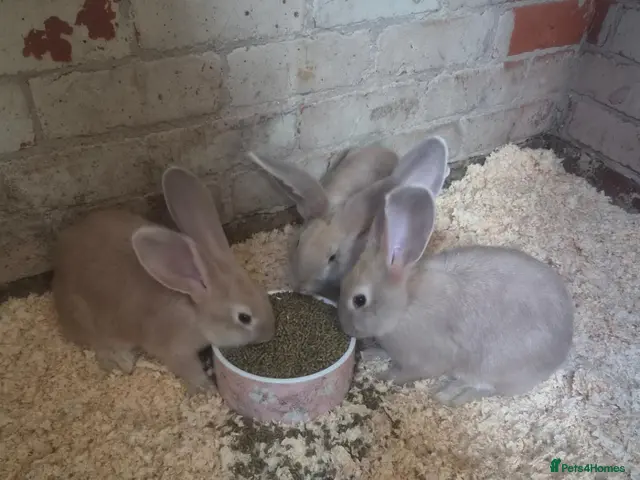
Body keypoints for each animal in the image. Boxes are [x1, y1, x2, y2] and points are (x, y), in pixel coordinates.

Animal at [51, 166, 276, 394]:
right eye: (244, 318)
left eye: (261, 292)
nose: (270, 334)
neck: (194, 309)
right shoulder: (175, 349)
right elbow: (187, 368)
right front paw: (206, 388)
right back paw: (122, 361)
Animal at [338, 185, 574, 406]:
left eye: (359, 300)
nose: (345, 328)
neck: (405, 303)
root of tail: (562, 352)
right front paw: (372, 355)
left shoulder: (425, 358)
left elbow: (407, 373)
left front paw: (383, 376)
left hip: (494, 367)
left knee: (486, 389)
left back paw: (448, 395)